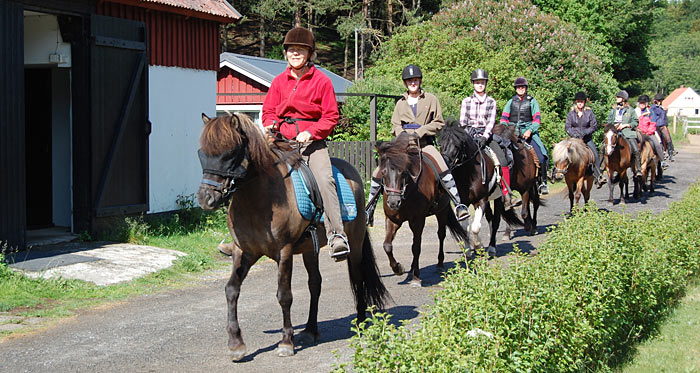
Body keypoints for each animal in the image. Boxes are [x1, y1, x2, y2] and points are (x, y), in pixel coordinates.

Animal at [197, 112, 388, 360]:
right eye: (202, 153)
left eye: (230, 154)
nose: (206, 199)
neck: (259, 199)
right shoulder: (244, 251)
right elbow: (231, 290)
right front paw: (236, 344)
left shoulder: (284, 252)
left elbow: (284, 295)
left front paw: (286, 342)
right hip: (309, 250)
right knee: (315, 283)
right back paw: (310, 330)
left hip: (354, 244)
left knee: (357, 277)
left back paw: (361, 322)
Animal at [374, 132, 468, 286]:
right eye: (383, 172)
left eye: (403, 172)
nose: (393, 202)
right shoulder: (392, 220)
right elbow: (387, 245)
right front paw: (398, 268)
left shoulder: (418, 220)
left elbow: (416, 247)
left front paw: (416, 278)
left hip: (441, 212)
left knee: (440, 234)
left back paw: (439, 265)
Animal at [434, 118, 524, 256]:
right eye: (441, 143)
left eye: (457, 144)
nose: (445, 162)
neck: (469, 173)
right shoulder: (463, 202)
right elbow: (465, 226)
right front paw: (468, 249)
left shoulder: (481, 200)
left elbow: (475, 227)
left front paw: (477, 245)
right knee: (490, 219)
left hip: (498, 198)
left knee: (495, 221)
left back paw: (492, 247)